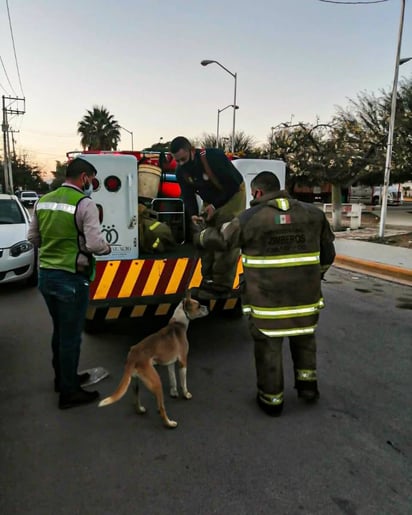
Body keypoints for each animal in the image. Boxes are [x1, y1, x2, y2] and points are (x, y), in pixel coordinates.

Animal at [98, 292, 208, 430]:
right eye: (198, 306)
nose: (207, 307)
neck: (178, 323)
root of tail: (132, 355)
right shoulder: (183, 361)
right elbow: (183, 382)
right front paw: (186, 394)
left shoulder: (170, 363)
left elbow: (173, 379)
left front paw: (174, 392)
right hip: (156, 382)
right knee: (161, 408)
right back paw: (169, 423)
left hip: (135, 382)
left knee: (136, 399)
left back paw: (140, 409)